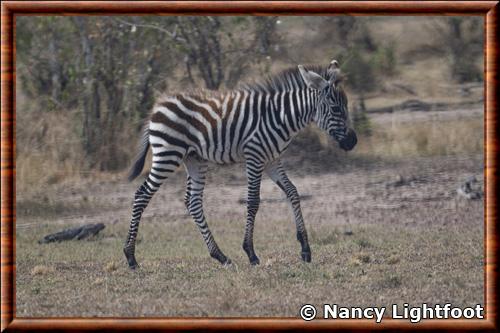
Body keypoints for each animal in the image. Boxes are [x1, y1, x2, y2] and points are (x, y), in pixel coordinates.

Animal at [125, 59, 360, 268]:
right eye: (336, 109)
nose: (353, 141)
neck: (281, 116)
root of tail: (158, 105)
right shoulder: (254, 156)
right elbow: (253, 201)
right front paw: (251, 253)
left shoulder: (272, 160)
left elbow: (293, 192)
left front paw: (305, 249)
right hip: (168, 153)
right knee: (142, 195)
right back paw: (130, 257)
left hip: (194, 159)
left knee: (192, 202)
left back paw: (220, 256)